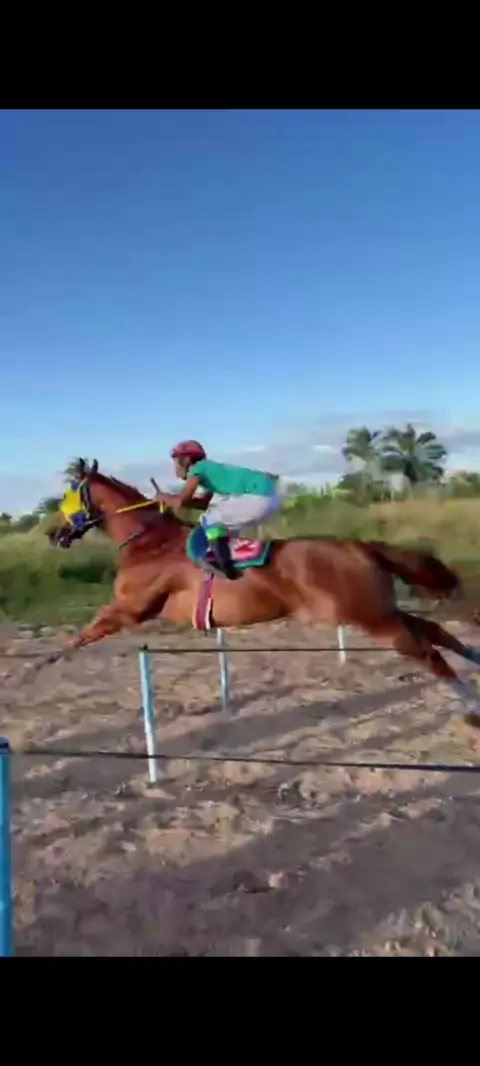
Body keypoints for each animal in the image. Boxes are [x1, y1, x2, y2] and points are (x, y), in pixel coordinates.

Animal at [47, 458, 480, 725]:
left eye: (67, 496)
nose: (54, 533)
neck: (148, 543)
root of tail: (360, 546)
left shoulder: (130, 609)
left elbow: (86, 632)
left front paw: (48, 660)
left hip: (369, 615)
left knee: (424, 649)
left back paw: (469, 701)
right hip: (373, 608)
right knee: (432, 631)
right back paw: (474, 659)